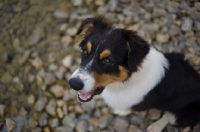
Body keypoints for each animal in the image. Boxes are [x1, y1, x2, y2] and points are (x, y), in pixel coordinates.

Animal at [68, 17, 200, 132]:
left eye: (107, 61)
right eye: (85, 51)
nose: (73, 84)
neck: (126, 81)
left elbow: (131, 107)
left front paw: (121, 111)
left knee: (170, 116)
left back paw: (156, 126)